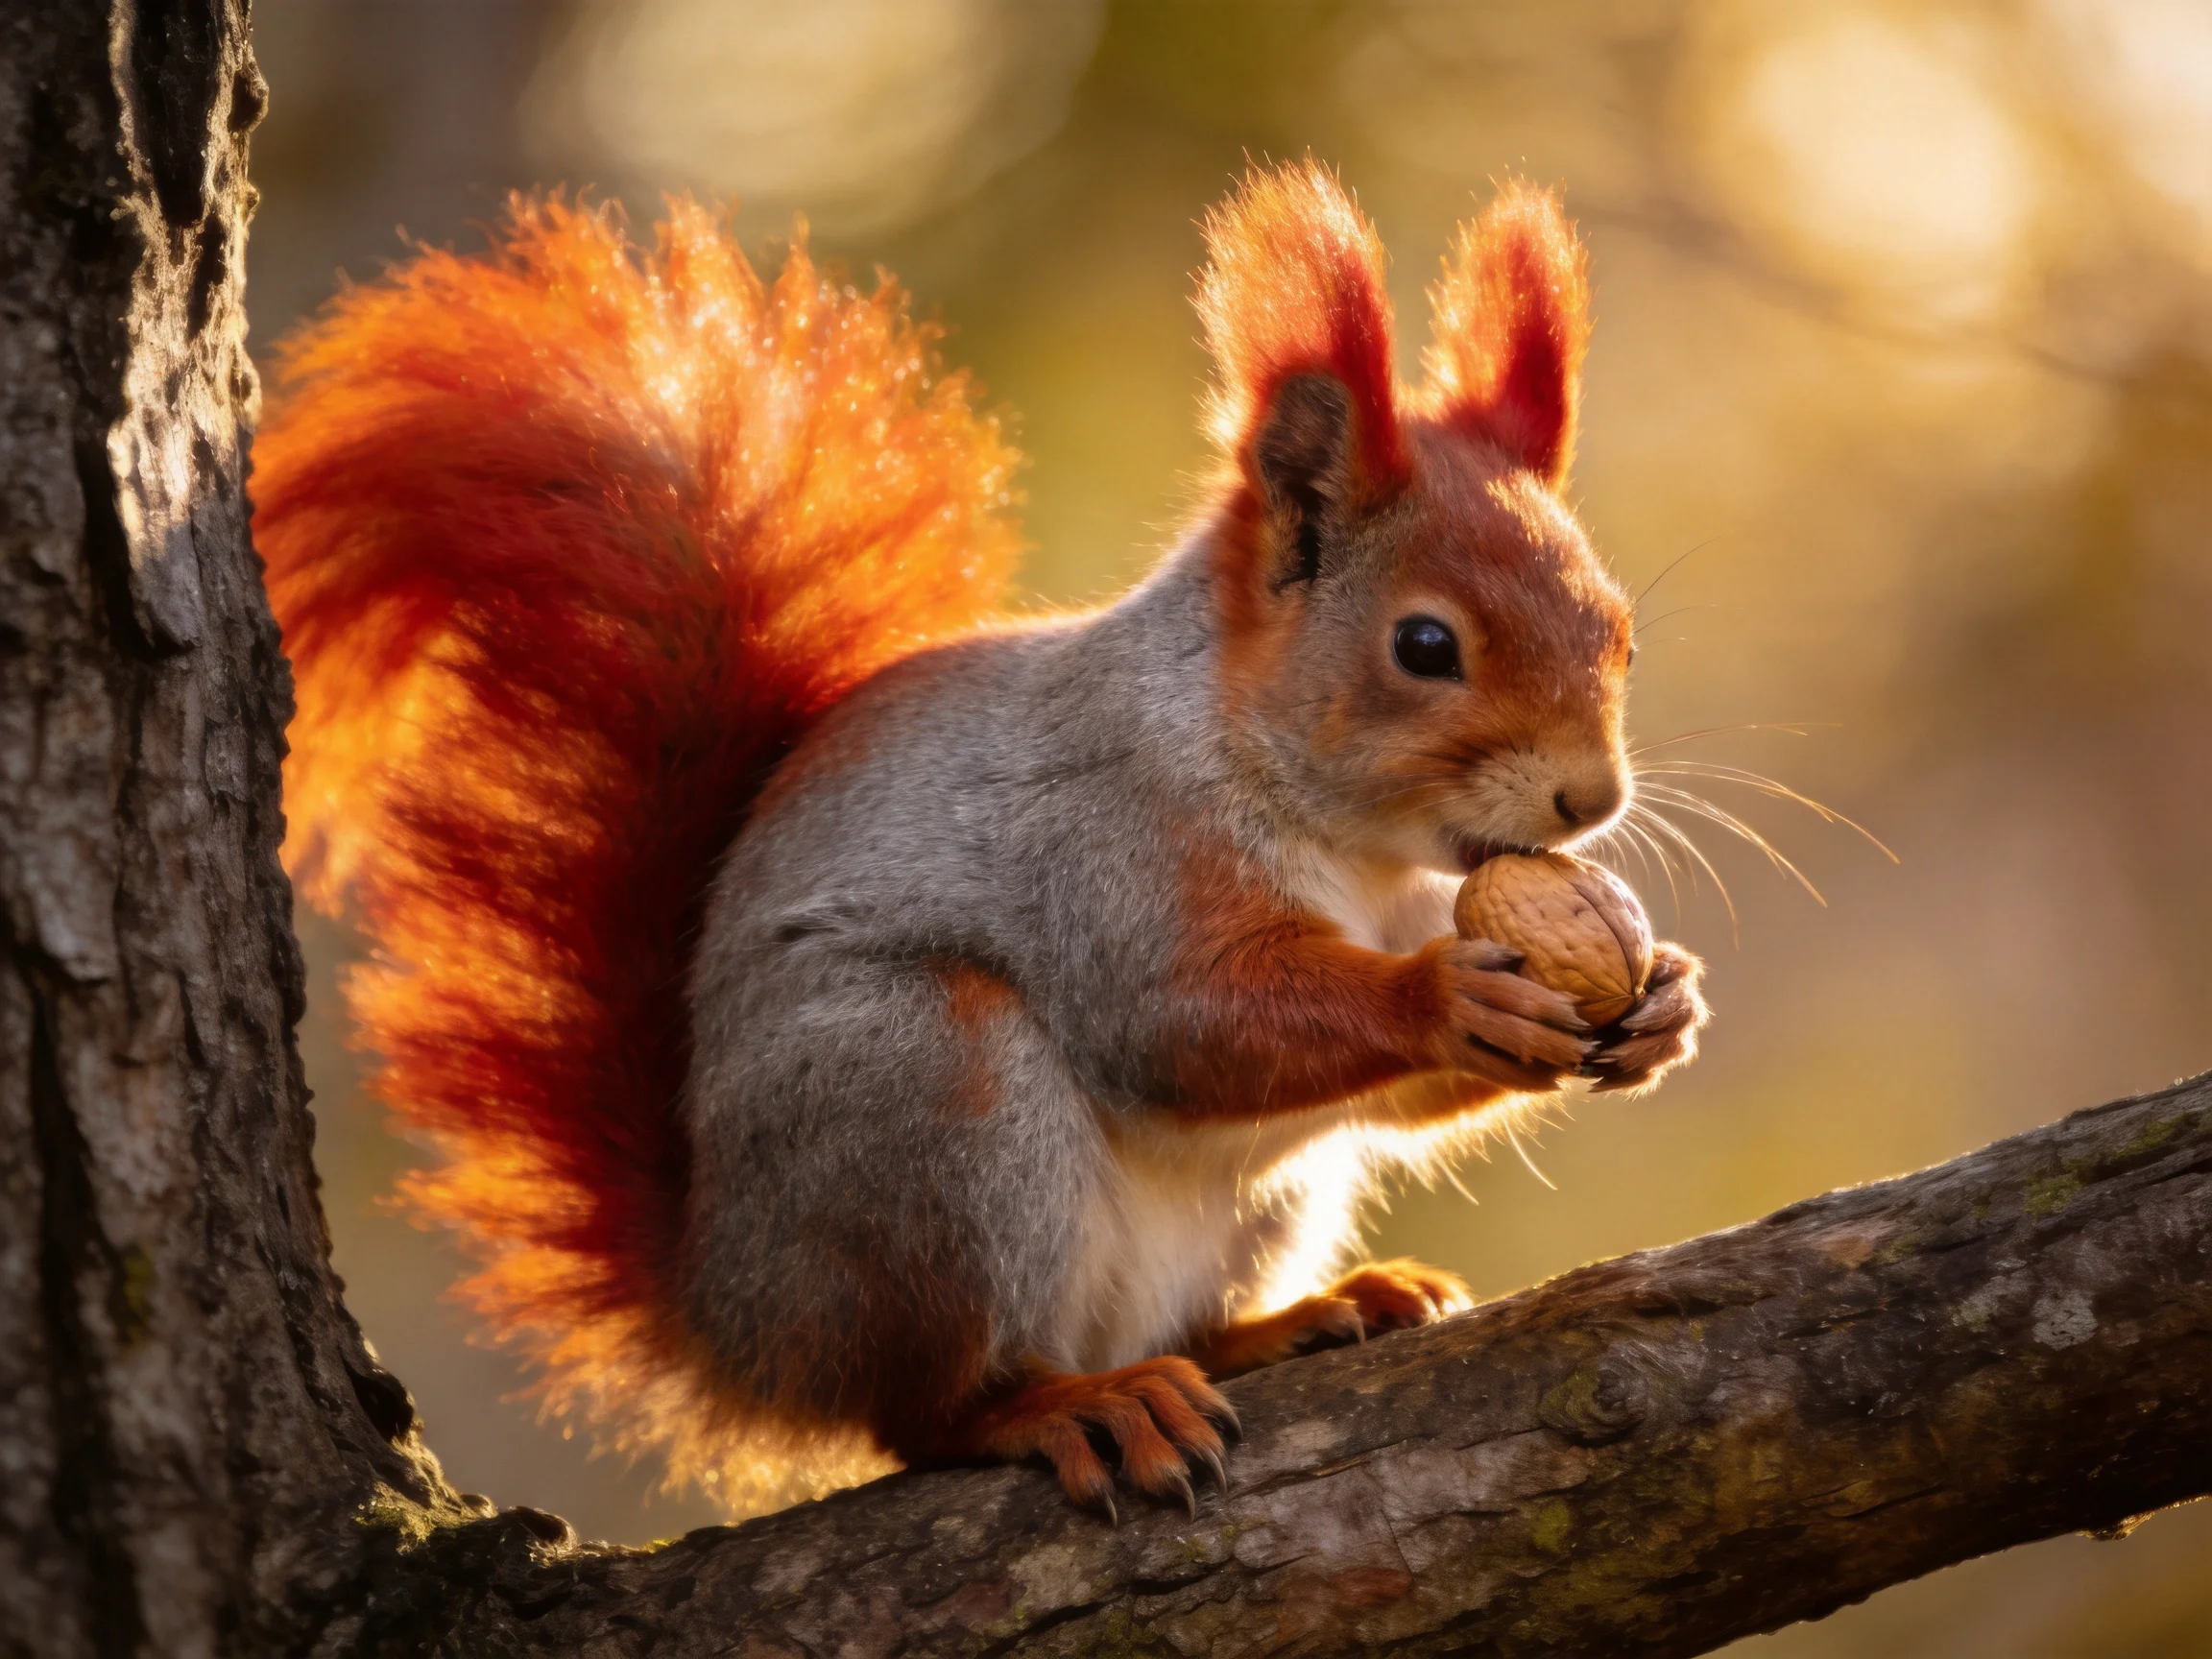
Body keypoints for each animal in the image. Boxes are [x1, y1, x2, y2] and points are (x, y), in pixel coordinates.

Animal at [257, 161, 1708, 1518]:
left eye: (1624, 634)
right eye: (1424, 646)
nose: (1591, 802)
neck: (1351, 845)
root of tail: (733, 1320)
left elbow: (1390, 1095)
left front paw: (1665, 1004)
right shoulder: (1104, 841)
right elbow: (1179, 1019)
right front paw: (1447, 997)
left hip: (1255, 1200)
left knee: (1184, 1321)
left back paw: (1286, 1323)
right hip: (928, 1095)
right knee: (922, 1412)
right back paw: (1063, 1406)